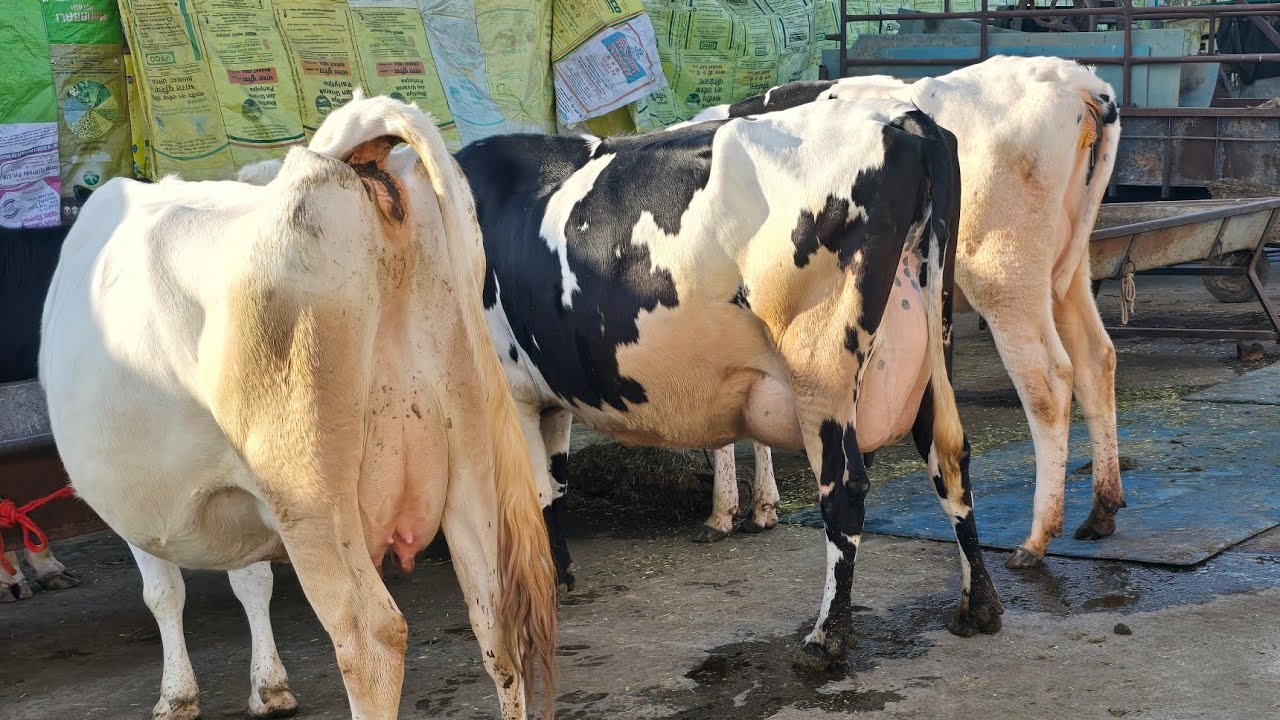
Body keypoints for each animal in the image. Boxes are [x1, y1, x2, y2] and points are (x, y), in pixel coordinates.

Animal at [39, 94, 557, 720]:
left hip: (309, 492)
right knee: (496, 623)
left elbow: (164, 591)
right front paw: (269, 685)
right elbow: (249, 581)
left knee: (369, 634)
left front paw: (177, 695)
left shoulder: (147, 506)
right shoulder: (236, 491)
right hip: (472, 451)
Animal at [452, 96, 1004, 666]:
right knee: (950, 457)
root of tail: (904, 118)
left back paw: (826, 636)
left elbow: (535, 492)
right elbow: (555, 484)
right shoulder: (548, 392)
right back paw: (978, 606)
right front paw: (560, 574)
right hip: (932, 349)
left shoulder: (514, 389)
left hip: (820, 365)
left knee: (846, 486)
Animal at [687, 56, 1123, 570]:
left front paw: (722, 513)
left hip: (1003, 272)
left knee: (1049, 381)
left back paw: (1036, 539)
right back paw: (1101, 510)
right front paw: (762, 506)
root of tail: (1073, 78)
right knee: (1096, 359)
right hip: (1067, 272)